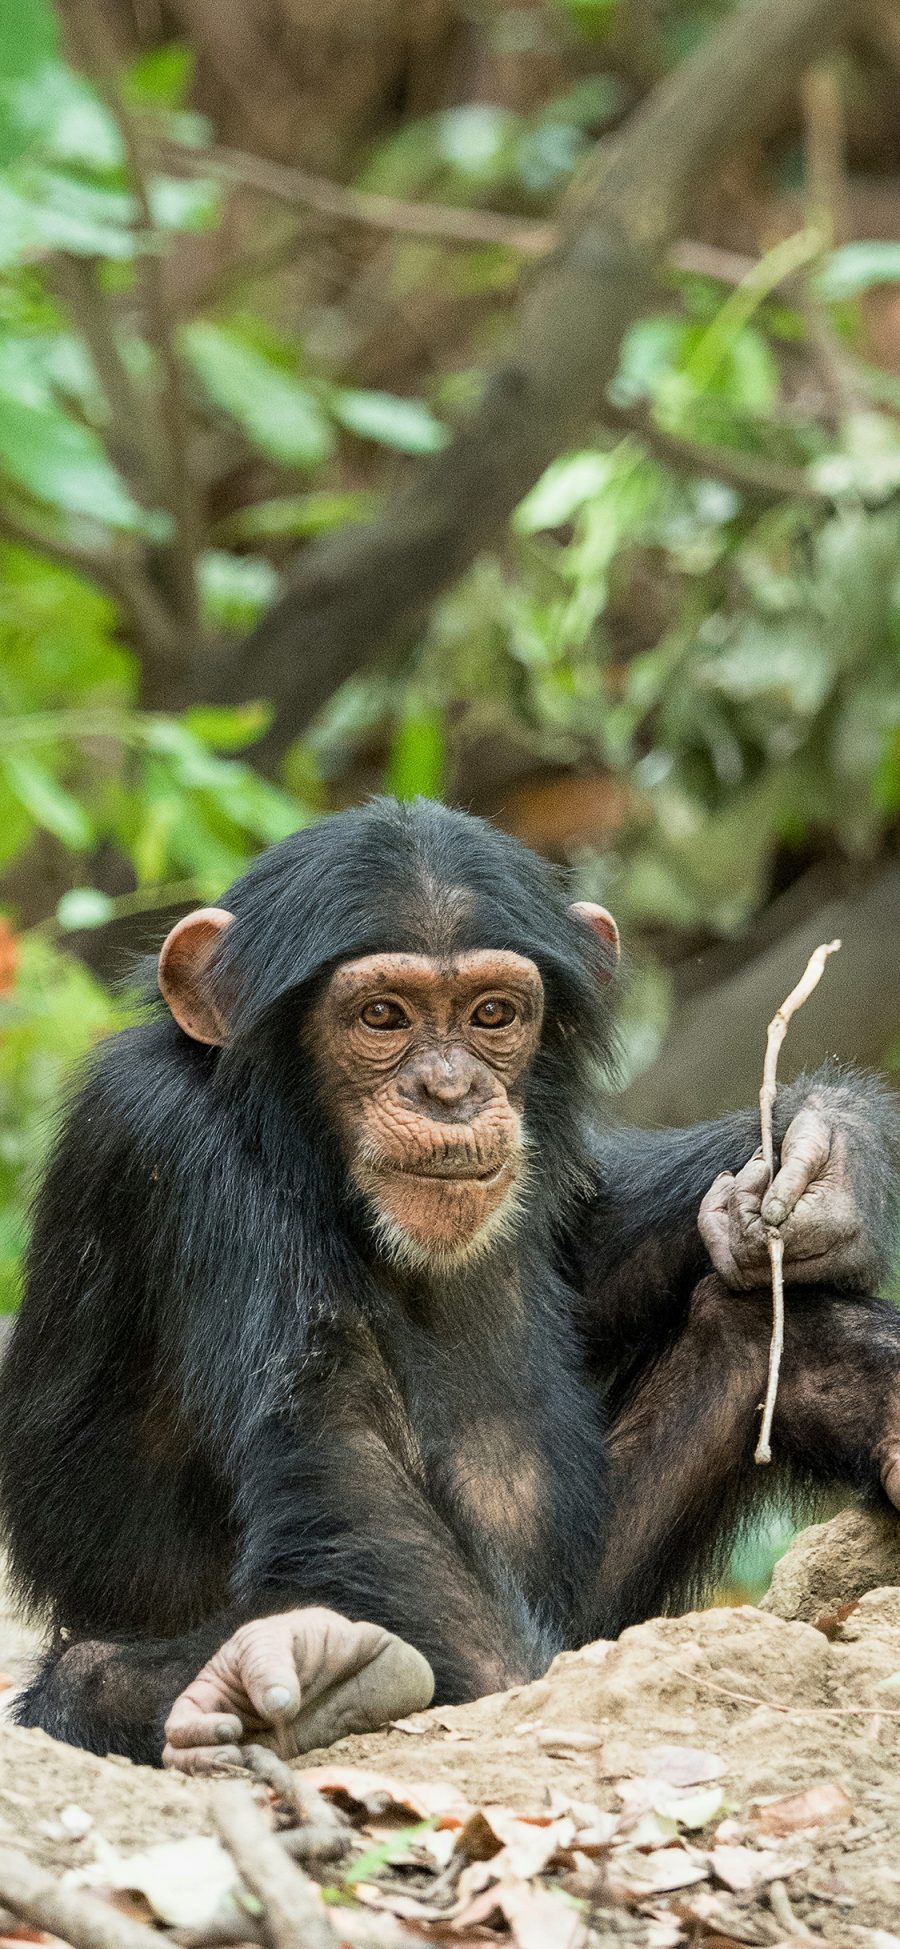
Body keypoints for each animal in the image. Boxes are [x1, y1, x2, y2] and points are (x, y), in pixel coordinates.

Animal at [1, 799, 900, 1777]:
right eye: (383, 1015)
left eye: (493, 1013)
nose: (449, 1088)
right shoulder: (172, 1146)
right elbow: (341, 1456)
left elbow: (589, 1243)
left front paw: (826, 1161)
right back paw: (295, 1669)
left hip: (590, 1615)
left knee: (764, 1334)